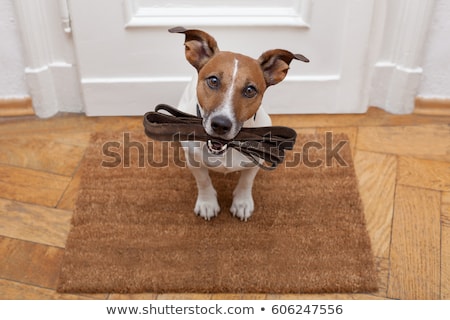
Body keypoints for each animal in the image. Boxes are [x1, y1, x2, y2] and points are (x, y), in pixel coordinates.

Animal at [170, 26, 310, 220]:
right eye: (213, 80)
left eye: (250, 90)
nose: (221, 124)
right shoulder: (194, 161)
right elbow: (203, 181)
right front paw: (207, 203)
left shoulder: (255, 161)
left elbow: (246, 181)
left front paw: (242, 203)